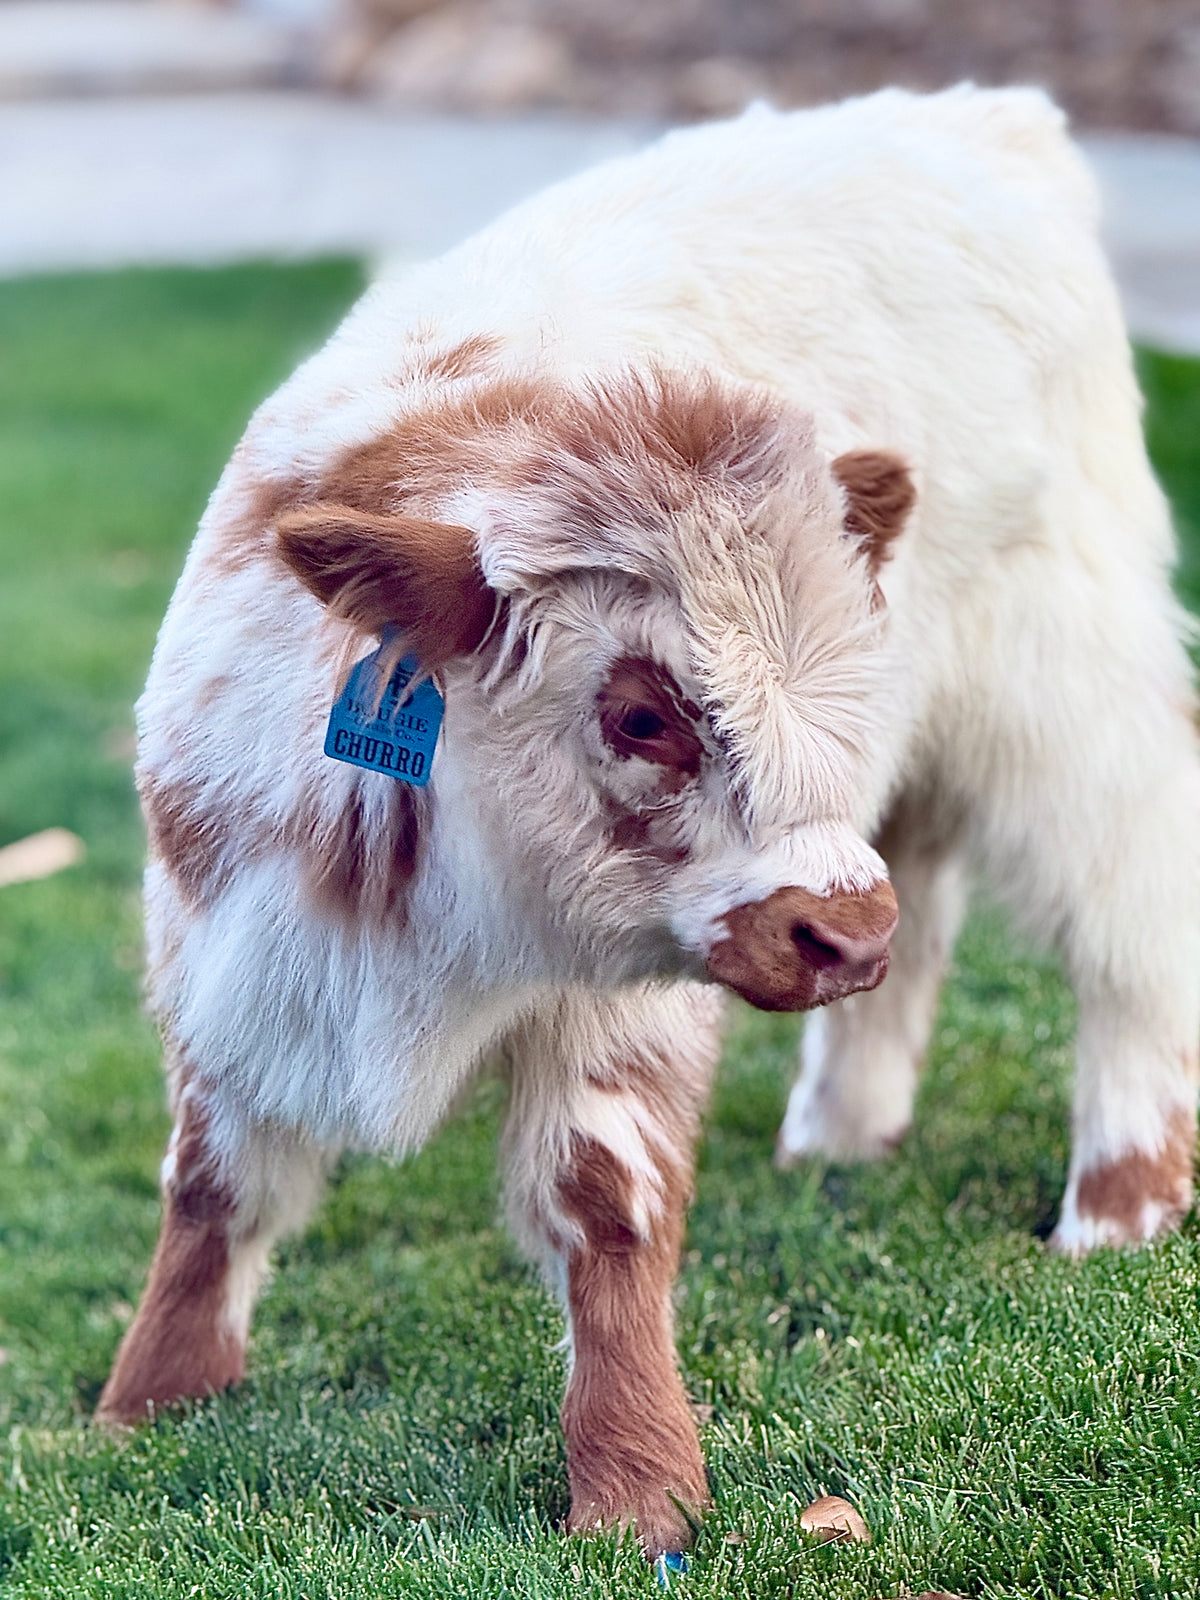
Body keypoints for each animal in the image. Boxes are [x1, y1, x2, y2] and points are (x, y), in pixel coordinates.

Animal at [97, 85, 1200, 1562]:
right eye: (639, 714)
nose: (840, 936)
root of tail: (973, 117)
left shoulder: (626, 996)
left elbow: (600, 1198)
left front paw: (635, 1492)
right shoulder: (224, 941)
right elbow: (213, 1180)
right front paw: (143, 1407)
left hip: (1066, 696)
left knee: (1128, 902)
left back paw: (1119, 1204)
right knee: (922, 882)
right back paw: (839, 1132)